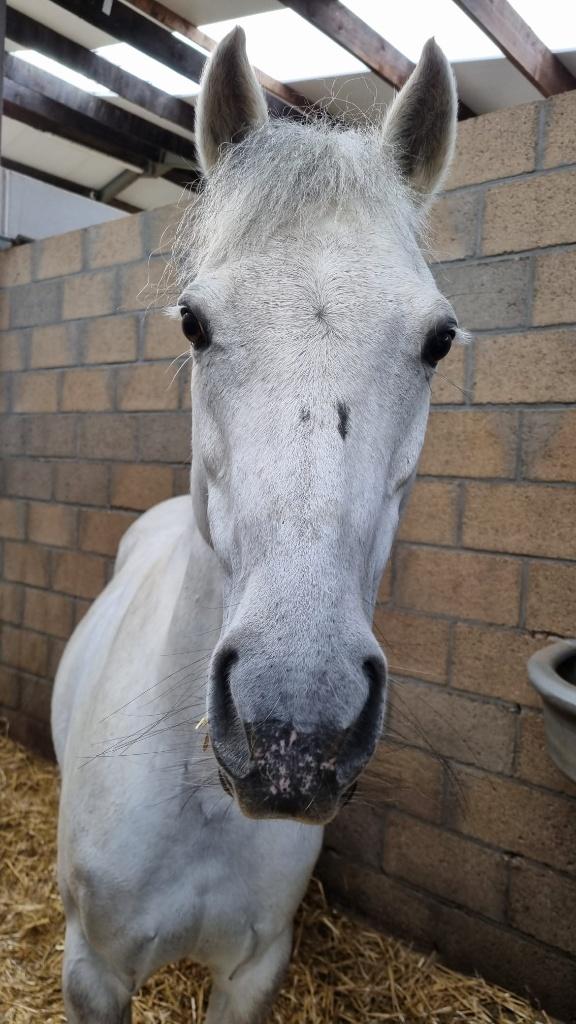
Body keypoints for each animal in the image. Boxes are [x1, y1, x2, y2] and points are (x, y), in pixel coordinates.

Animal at [52, 27, 462, 1023]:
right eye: (193, 323)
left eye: (438, 339)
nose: (295, 732)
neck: (200, 802)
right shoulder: (92, 970)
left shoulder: (253, 970)